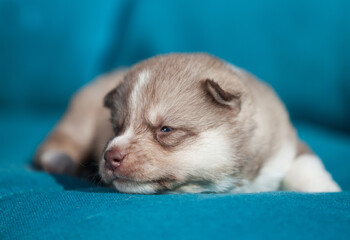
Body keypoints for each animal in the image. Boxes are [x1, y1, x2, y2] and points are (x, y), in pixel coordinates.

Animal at [34, 53, 340, 194]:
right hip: (78, 119)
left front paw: (326, 189)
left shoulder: (284, 141)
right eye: (117, 128)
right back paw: (61, 162)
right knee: (58, 143)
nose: (109, 157)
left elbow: (304, 163)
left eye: (165, 129)